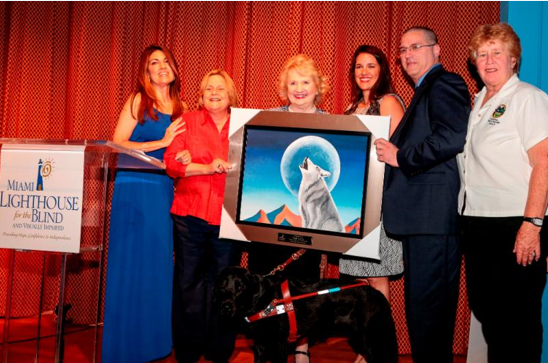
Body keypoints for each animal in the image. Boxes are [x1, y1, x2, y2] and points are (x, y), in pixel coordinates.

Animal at [214, 268, 398, 363]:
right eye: (222, 284)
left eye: (241, 287)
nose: (225, 308)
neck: (263, 301)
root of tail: (379, 295)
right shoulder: (260, 345)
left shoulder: (279, 346)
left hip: (373, 341)